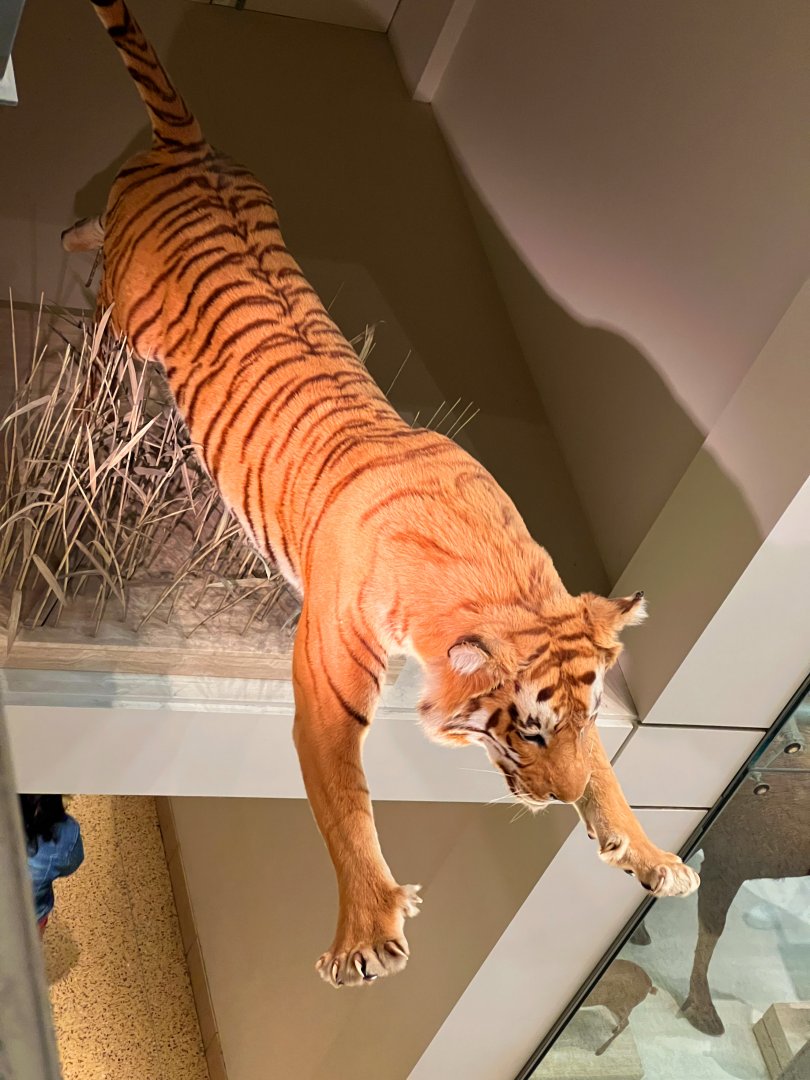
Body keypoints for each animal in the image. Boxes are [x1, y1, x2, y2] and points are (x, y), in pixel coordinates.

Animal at [61, 0, 699, 988]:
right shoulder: (324, 677)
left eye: (585, 720)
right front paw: (367, 935)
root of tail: (190, 151)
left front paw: (652, 856)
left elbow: (612, 774)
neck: (501, 578)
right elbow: (343, 802)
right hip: (125, 318)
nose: (554, 806)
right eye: (528, 732)